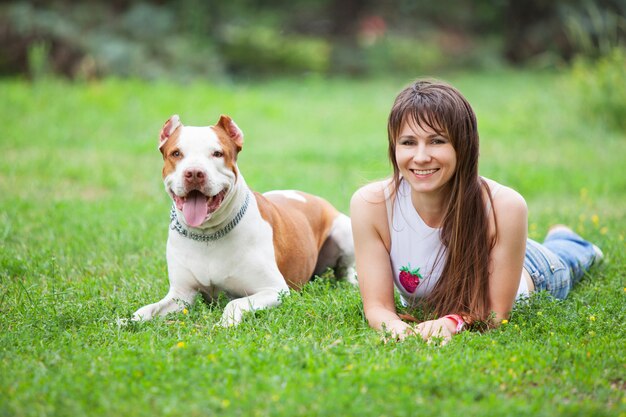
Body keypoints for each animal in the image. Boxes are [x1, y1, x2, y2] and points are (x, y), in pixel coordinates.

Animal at [130, 114, 356, 324]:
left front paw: (225, 323)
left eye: (217, 153)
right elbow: (146, 310)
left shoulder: (274, 289)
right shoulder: (181, 294)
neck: (208, 235)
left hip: (344, 233)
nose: (194, 172)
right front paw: (128, 322)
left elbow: (234, 303)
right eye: (176, 153)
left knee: (345, 270)